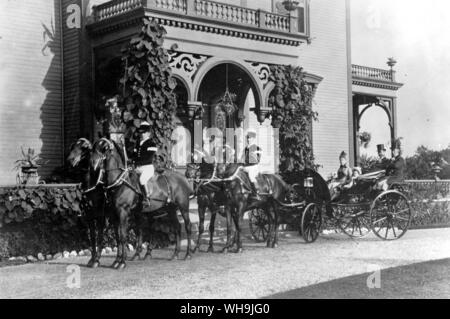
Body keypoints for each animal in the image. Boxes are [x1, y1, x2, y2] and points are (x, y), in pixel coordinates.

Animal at [66, 139, 107, 268]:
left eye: (84, 148)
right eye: (72, 147)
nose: (70, 160)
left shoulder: (100, 215)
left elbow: (100, 236)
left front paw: (97, 260)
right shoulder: (89, 215)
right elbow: (93, 237)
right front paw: (92, 259)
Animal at [89, 138, 193, 270]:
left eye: (104, 148)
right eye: (93, 147)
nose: (92, 163)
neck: (119, 182)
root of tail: (183, 178)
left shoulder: (123, 212)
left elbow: (123, 236)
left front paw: (122, 262)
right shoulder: (114, 214)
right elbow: (118, 237)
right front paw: (116, 261)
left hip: (183, 208)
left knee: (188, 227)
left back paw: (188, 254)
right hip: (171, 210)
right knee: (177, 228)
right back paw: (175, 254)